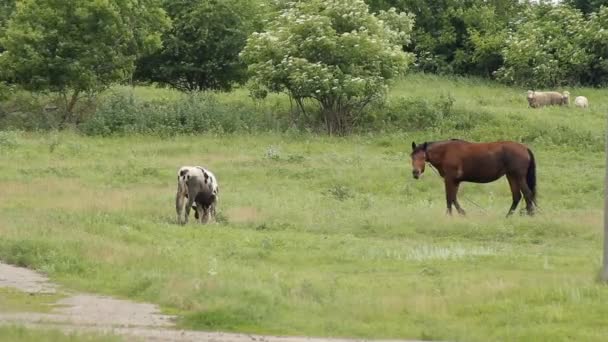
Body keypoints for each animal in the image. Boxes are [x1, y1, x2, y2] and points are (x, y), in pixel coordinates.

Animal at [408, 140, 536, 216]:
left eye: (423, 157)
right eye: (412, 156)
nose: (415, 173)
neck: (445, 152)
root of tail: (525, 148)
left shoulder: (449, 179)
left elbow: (449, 198)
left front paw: (449, 215)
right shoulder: (455, 181)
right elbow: (453, 198)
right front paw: (462, 213)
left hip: (518, 177)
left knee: (527, 194)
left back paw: (530, 214)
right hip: (511, 176)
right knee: (517, 196)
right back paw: (508, 216)